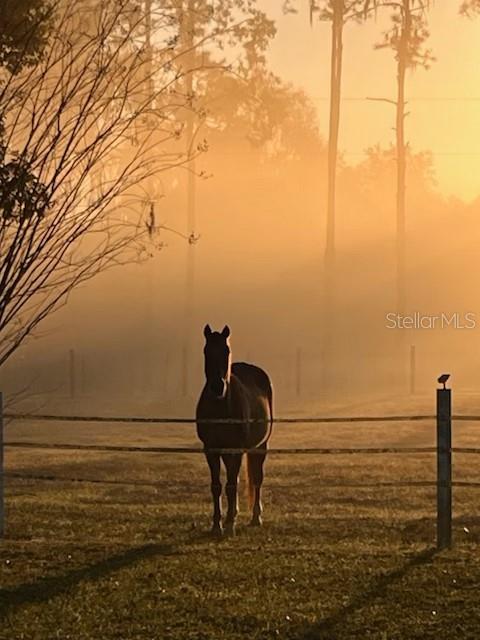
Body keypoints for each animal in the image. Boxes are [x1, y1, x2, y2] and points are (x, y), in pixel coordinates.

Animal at [195, 322, 272, 536]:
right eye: (206, 351)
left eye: (226, 350)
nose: (217, 387)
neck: (220, 408)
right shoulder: (211, 449)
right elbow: (217, 485)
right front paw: (217, 524)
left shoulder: (236, 449)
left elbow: (230, 485)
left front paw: (229, 525)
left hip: (260, 446)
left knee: (256, 479)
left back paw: (255, 517)